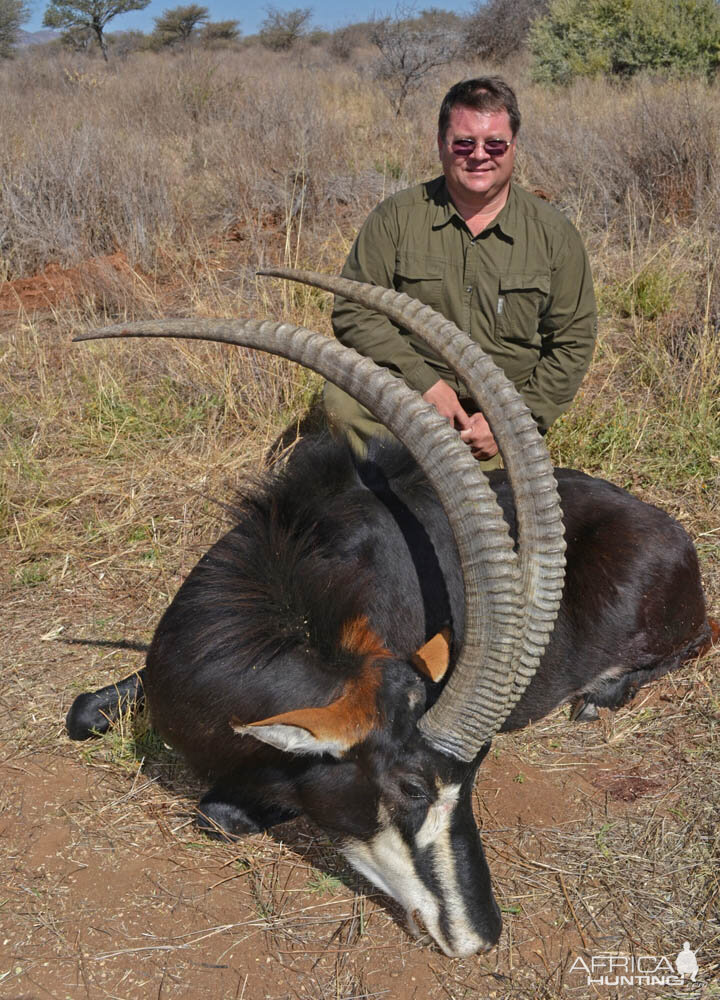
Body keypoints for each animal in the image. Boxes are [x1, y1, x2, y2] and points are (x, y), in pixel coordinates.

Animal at [67, 270, 716, 956]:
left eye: (474, 780)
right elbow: (83, 712)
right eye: (411, 787)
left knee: (699, 636)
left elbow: (222, 812)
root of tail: (670, 530)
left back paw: (599, 694)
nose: (481, 936)